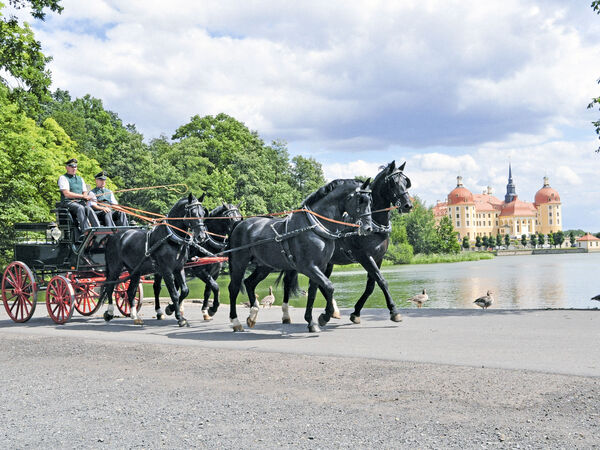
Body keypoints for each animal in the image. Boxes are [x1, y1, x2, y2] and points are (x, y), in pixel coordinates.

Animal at [99, 195, 207, 326]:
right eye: (193, 213)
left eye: (203, 213)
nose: (202, 237)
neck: (171, 239)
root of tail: (113, 236)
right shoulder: (166, 271)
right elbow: (174, 294)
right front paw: (179, 318)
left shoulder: (179, 268)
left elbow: (185, 291)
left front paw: (170, 309)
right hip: (115, 267)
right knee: (110, 287)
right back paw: (109, 312)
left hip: (135, 271)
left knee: (130, 291)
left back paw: (135, 316)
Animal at [227, 178, 372, 332]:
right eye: (360, 200)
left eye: (370, 200)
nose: (368, 228)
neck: (314, 226)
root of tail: (239, 224)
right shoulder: (308, 267)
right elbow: (329, 286)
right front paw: (325, 316)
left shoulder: (320, 266)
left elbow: (313, 293)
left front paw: (311, 321)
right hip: (239, 262)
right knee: (234, 288)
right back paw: (236, 322)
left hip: (264, 266)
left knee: (249, 283)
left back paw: (253, 314)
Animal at [290, 162, 412, 324]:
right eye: (393, 183)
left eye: (406, 181)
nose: (408, 205)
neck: (374, 224)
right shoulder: (364, 256)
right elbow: (382, 281)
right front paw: (394, 310)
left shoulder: (378, 258)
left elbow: (371, 286)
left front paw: (356, 312)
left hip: (327, 263)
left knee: (320, 283)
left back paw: (332, 311)